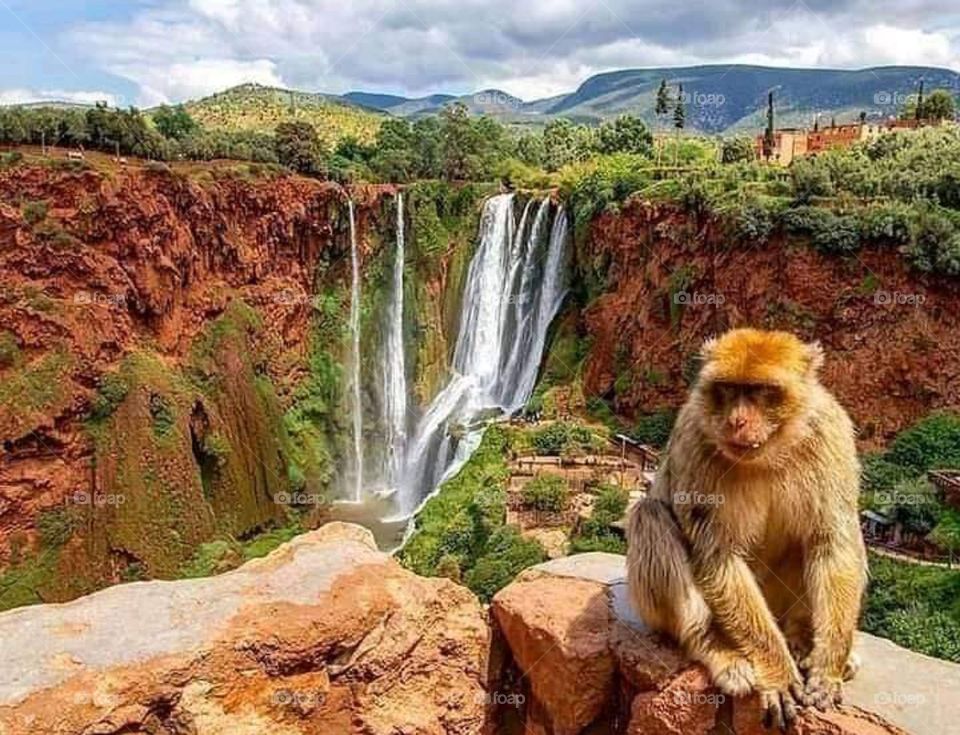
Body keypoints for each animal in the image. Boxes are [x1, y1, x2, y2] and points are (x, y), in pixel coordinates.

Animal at [626, 328, 867, 731]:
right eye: (727, 389)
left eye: (760, 391)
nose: (736, 420)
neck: (769, 452)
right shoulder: (695, 436)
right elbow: (717, 554)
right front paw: (777, 671)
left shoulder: (830, 432)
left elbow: (831, 541)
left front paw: (829, 663)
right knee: (649, 515)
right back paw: (717, 648)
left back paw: (802, 638)